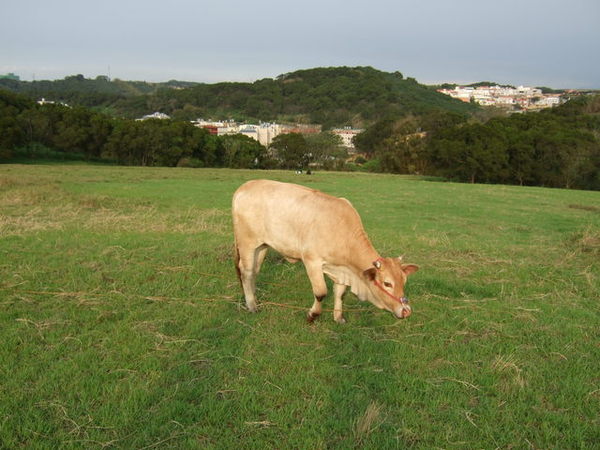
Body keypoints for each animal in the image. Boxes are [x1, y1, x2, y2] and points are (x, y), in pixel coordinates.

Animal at [230, 179, 418, 324]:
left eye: (404, 281)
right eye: (387, 283)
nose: (406, 310)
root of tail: (245, 187)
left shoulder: (341, 270)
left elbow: (340, 293)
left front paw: (338, 317)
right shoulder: (311, 261)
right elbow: (321, 292)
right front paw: (312, 315)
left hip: (262, 246)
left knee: (255, 271)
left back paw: (253, 296)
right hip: (247, 243)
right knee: (246, 271)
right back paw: (252, 306)